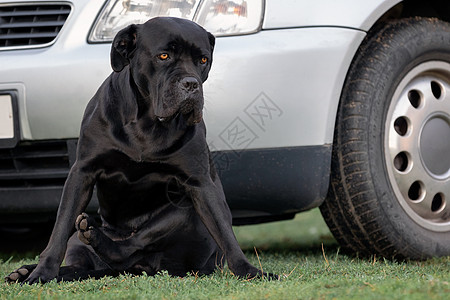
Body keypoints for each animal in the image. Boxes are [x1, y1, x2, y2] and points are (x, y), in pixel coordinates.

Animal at [6, 17, 274, 284]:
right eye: (164, 56)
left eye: (203, 60)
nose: (191, 84)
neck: (147, 123)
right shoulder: (82, 172)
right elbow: (60, 228)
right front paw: (42, 272)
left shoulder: (200, 183)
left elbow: (225, 232)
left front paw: (249, 270)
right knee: (80, 261)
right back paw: (27, 269)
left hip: (185, 211)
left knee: (129, 247)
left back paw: (95, 237)